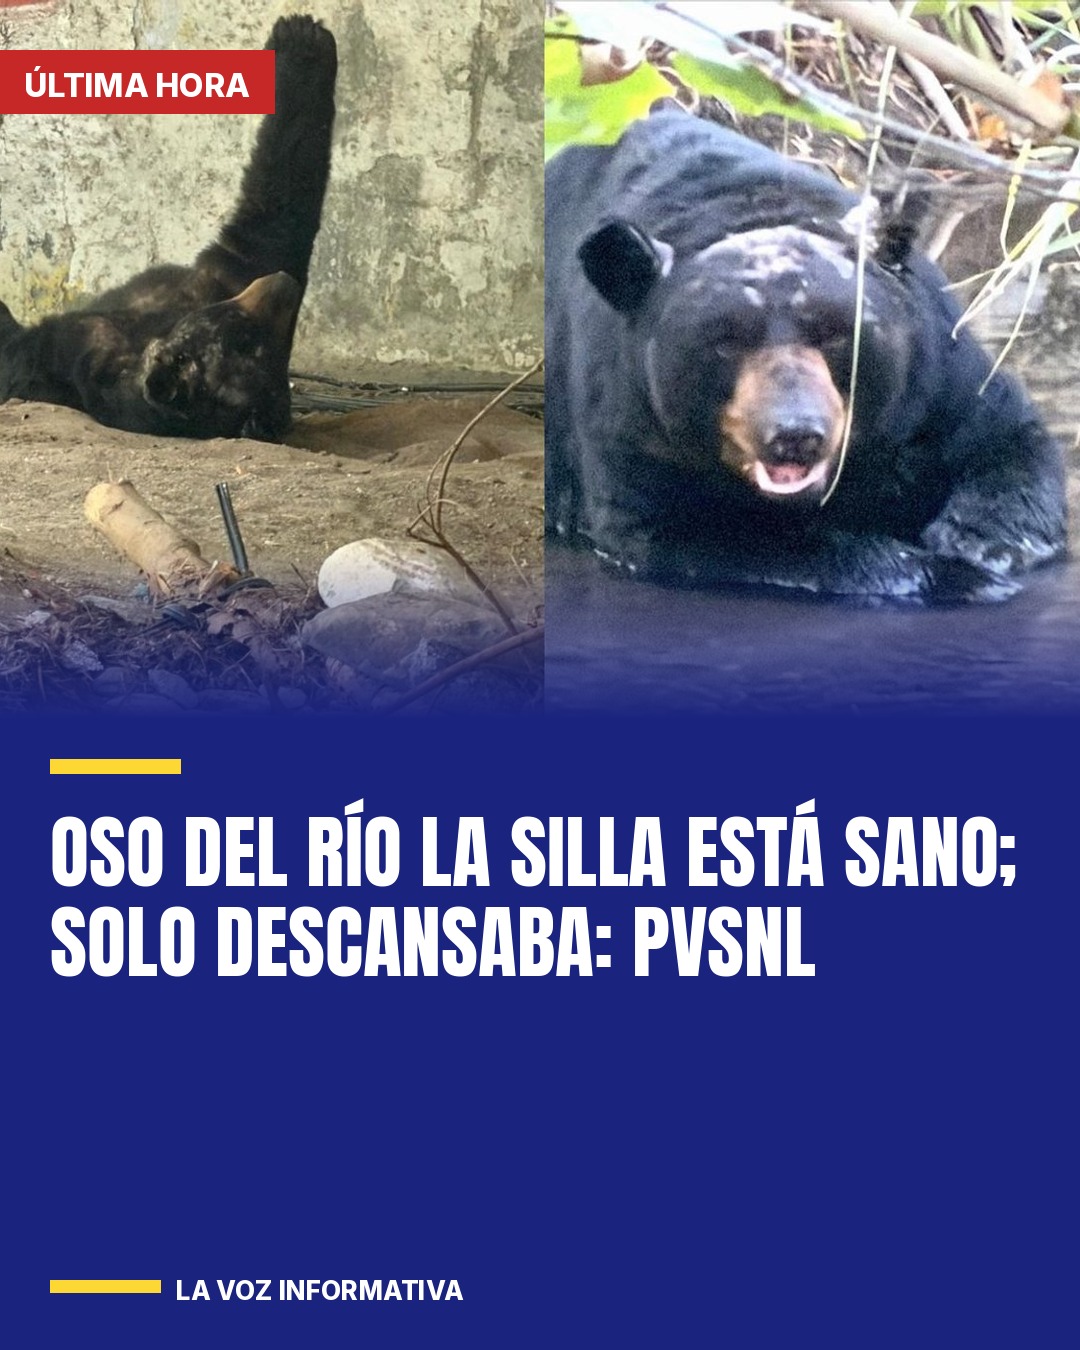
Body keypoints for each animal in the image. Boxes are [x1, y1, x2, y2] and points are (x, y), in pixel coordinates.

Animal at [545, 111, 1067, 603]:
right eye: (724, 341)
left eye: (835, 334)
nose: (795, 434)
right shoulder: (628, 421)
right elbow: (689, 532)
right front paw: (946, 575)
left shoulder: (934, 376)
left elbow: (1004, 439)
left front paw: (979, 545)